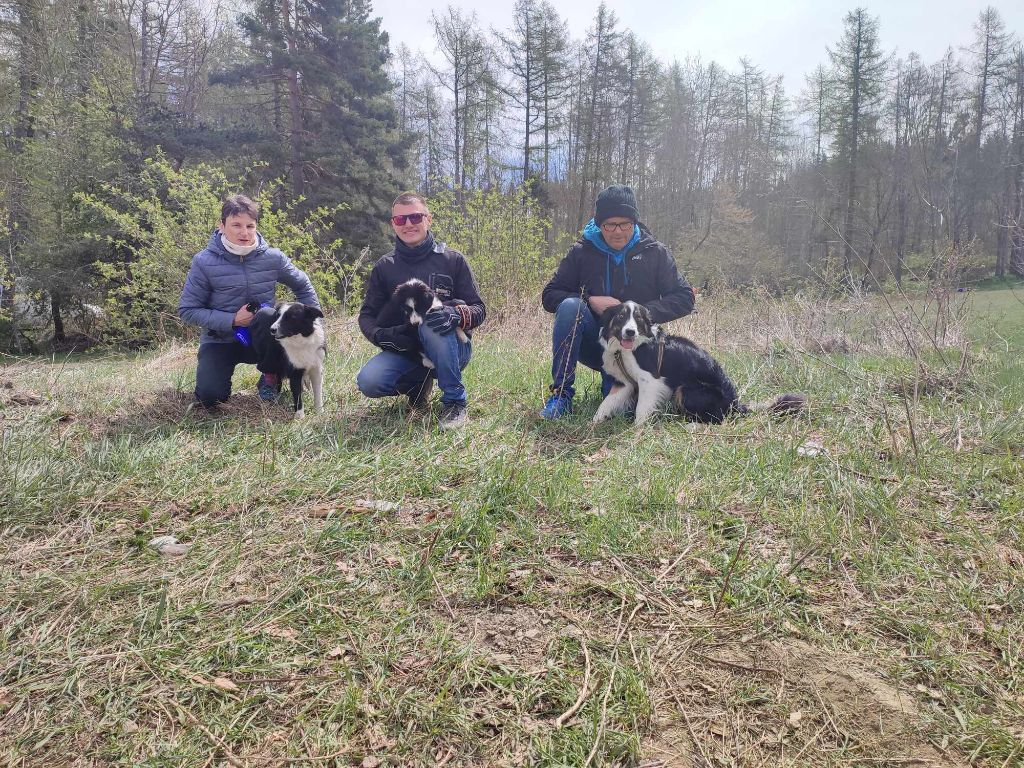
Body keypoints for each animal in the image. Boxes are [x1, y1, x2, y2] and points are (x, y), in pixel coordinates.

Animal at [593, 301, 806, 423]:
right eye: (621, 316)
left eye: (638, 319)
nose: (630, 332)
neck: (629, 349)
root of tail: (736, 405)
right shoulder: (625, 383)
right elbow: (606, 404)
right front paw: (594, 423)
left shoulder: (651, 381)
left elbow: (642, 409)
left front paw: (637, 430)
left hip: (687, 389)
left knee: (717, 419)